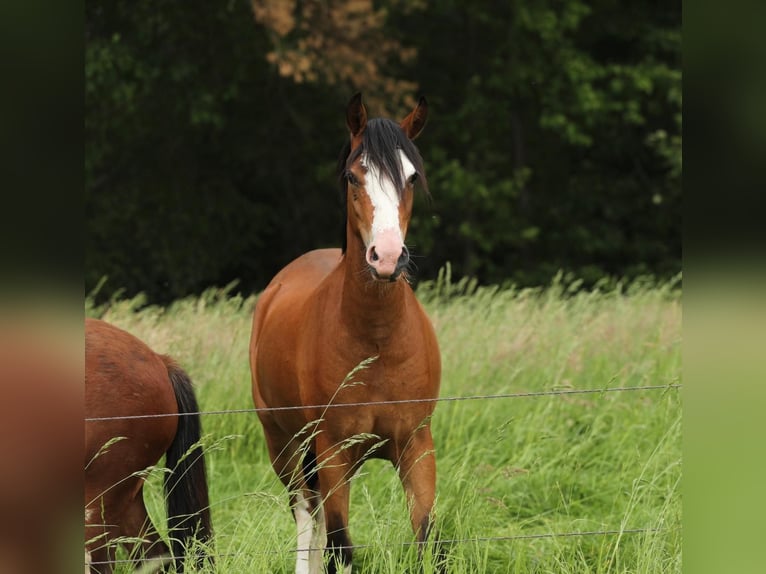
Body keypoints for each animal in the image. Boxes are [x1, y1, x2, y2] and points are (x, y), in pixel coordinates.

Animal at [250, 92, 440, 572]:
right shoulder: (333, 448)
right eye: (355, 176)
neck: (377, 341)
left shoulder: (416, 444)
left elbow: (426, 538)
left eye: (411, 177)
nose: (387, 257)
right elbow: (340, 544)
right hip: (285, 444)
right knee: (306, 514)